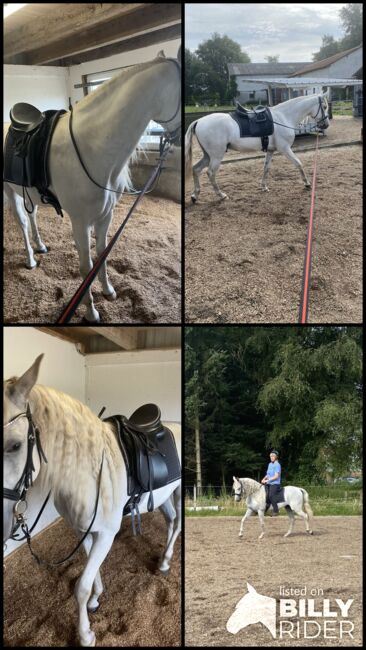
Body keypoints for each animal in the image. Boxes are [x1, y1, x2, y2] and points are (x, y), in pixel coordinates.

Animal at [2, 354, 180, 644]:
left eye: (15, 445)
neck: (87, 471)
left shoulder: (106, 533)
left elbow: (81, 587)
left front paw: (85, 634)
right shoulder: (82, 530)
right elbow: (91, 574)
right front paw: (96, 600)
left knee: (178, 525)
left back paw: (165, 563)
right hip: (164, 495)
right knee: (171, 521)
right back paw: (163, 559)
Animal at [4, 49, 182, 322]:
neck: (92, 146)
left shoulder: (106, 215)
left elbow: (102, 256)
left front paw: (108, 290)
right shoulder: (80, 222)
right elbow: (86, 266)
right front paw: (90, 311)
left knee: (32, 217)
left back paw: (41, 246)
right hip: (9, 190)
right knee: (22, 222)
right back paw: (31, 260)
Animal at [184, 92, 330, 200]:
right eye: (324, 106)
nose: (326, 124)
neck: (283, 117)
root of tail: (199, 121)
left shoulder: (270, 151)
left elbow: (266, 168)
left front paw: (264, 187)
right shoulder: (285, 149)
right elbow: (298, 163)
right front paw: (307, 183)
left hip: (208, 155)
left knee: (196, 169)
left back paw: (195, 195)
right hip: (216, 156)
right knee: (210, 173)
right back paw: (221, 195)